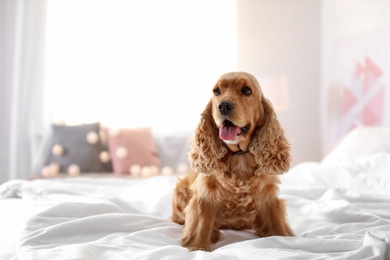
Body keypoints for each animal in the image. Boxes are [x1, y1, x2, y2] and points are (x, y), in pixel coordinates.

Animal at [172, 70, 294, 250]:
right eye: (216, 92)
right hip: (180, 189)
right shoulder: (206, 194)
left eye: (247, 90)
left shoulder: (268, 194)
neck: (240, 155)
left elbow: (277, 224)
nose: (223, 106)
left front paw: (285, 240)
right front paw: (198, 248)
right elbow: (202, 225)